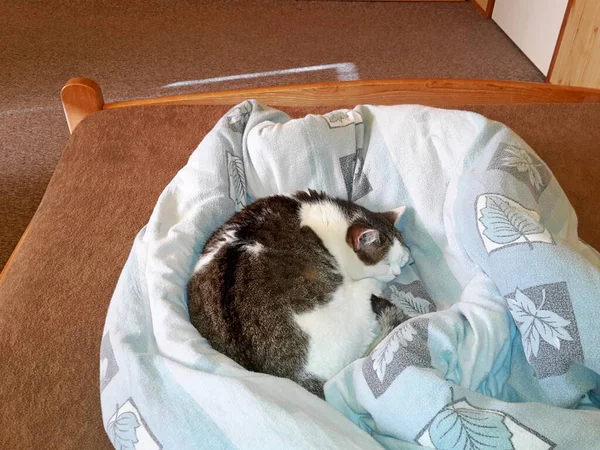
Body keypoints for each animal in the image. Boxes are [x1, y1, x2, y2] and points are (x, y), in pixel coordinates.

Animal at [188, 190, 410, 398]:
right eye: (387, 264)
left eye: (402, 260)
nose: (398, 272)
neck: (327, 221)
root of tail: (295, 380)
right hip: (358, 300)